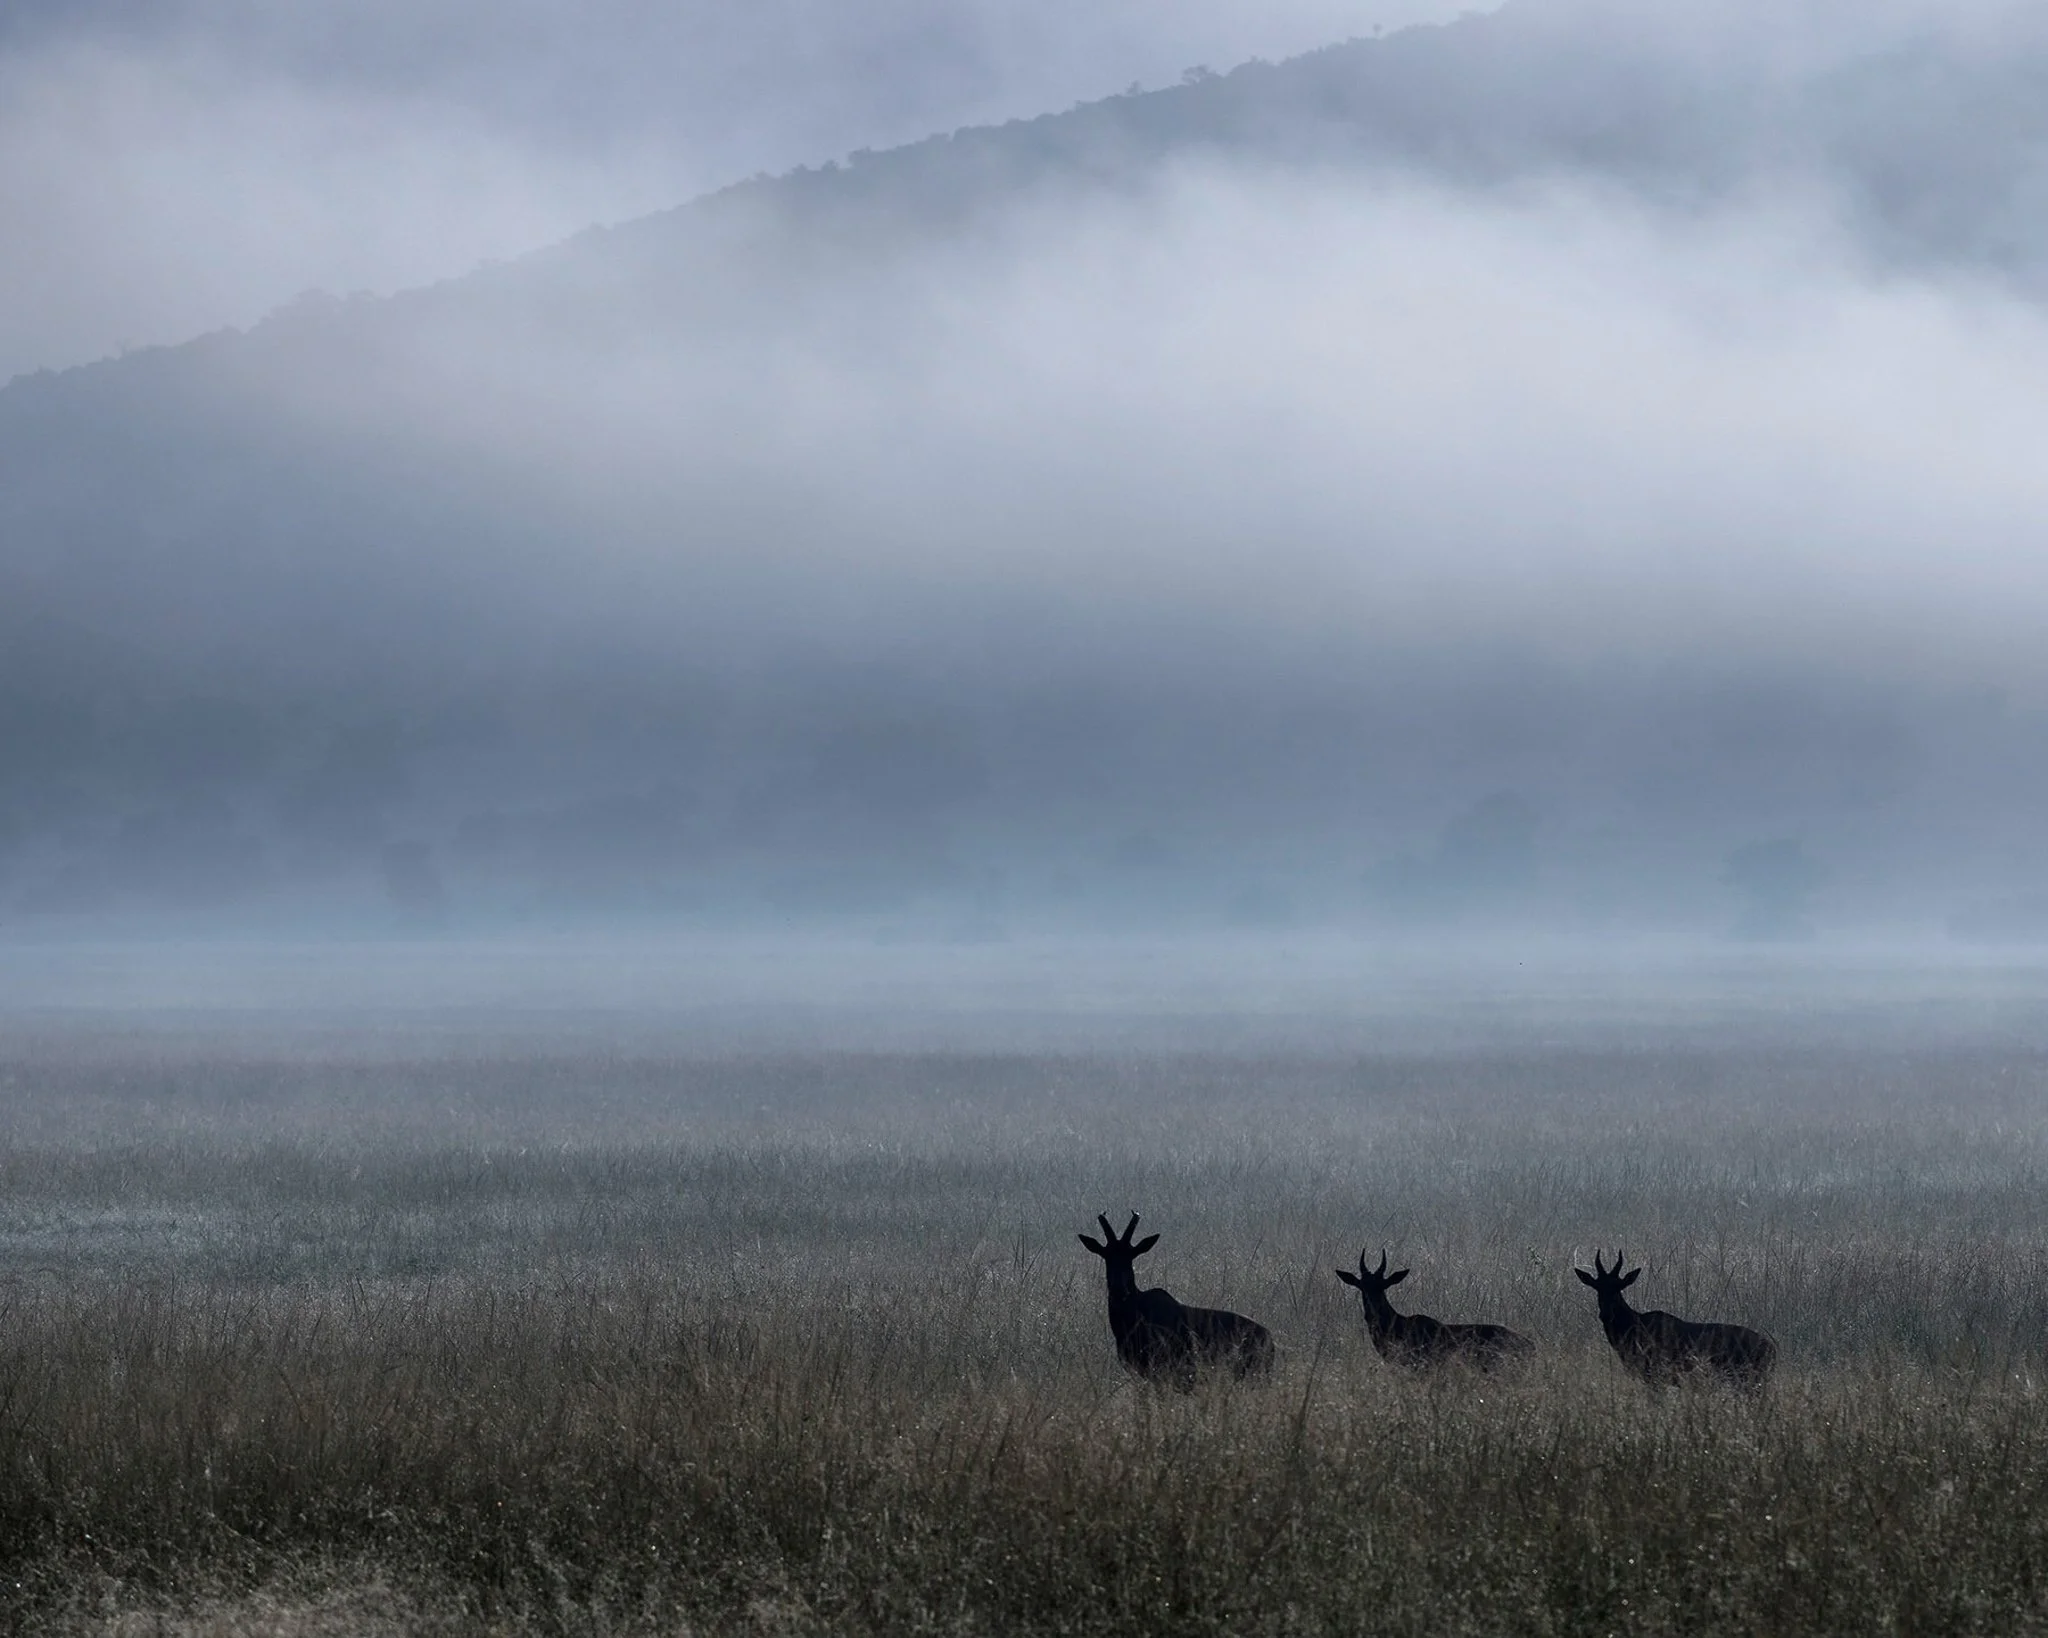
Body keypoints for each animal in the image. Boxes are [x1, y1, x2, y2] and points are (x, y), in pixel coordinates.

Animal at [1575, 1250, 1777, 1390]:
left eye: (1618, 1287)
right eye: (1597, 1287)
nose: (1606, 1315)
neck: (1635, 1325)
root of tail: (1771, 1348)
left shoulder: (1656, 1377)